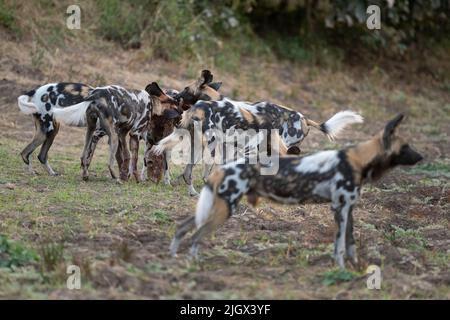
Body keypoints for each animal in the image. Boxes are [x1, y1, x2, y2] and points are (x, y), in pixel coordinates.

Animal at [171, 114, 424, 268]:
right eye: (406, 147)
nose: (421, 157)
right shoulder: (340, 209)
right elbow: (341, 246)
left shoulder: (346, 209)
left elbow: (349, 244)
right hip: (223, 204)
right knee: (195, 233)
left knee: (185, 225)